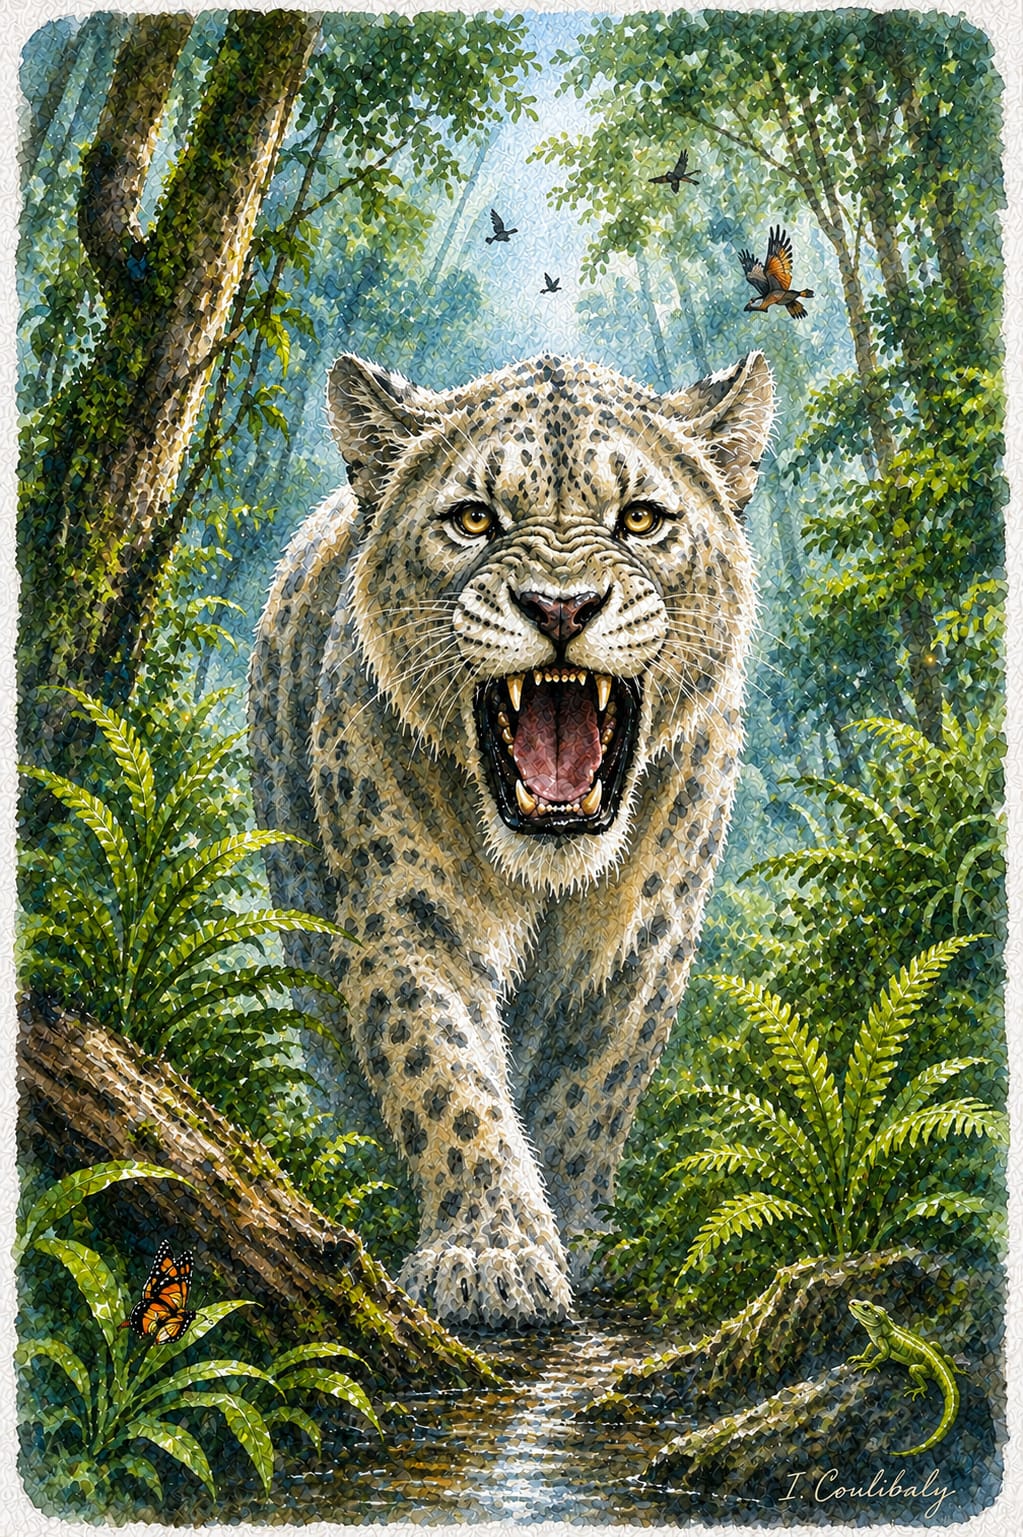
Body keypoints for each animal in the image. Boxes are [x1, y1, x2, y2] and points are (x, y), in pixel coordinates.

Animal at [248, 349, 774, 1329]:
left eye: (638, 518)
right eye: (473, 519)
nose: (560, 608)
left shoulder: (642, 946)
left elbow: (590, 1096)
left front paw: (580, 1236)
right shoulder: (408, 924)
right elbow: (447, 1083)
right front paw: (489, 1253)